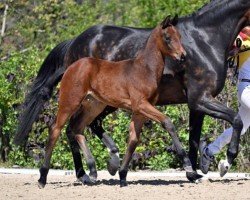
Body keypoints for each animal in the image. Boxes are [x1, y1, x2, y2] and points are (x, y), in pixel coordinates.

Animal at [38, 16, 188, 188]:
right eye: (167, 38)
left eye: (179, 36)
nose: (183, 56)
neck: (145, 69)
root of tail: (71, 66)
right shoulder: (141, 104)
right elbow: (167, 122)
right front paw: (188, 165)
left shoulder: (139, 111)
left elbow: (133, 140)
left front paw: (122, 176)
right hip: (70, 102)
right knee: (55, 129)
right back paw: (42, 178)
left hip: (93, 105)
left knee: (77, 129)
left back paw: (92, 171)